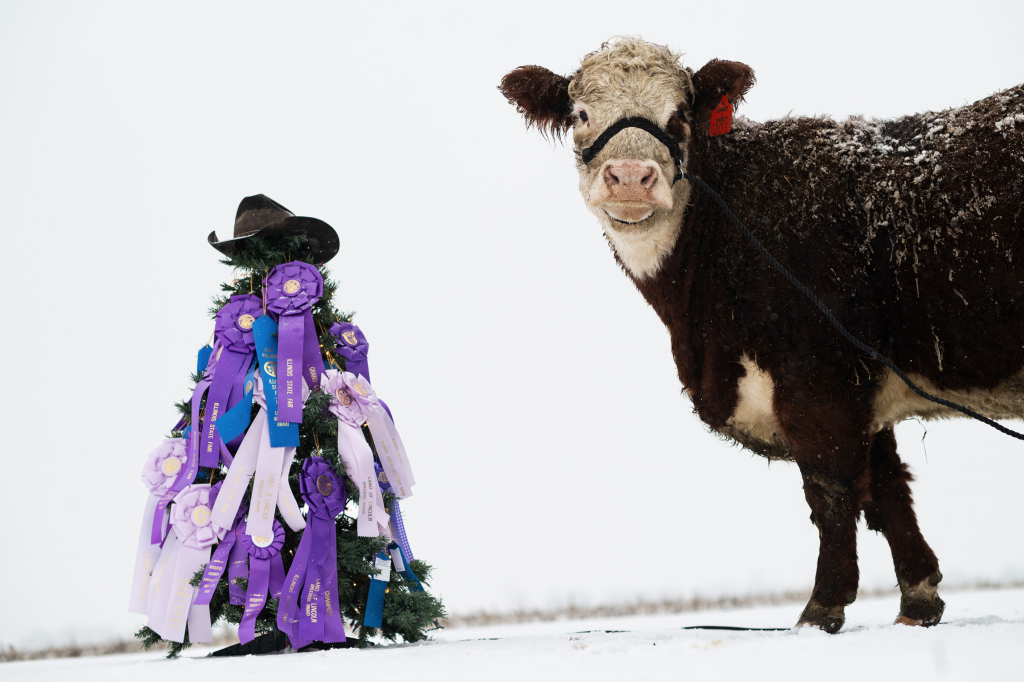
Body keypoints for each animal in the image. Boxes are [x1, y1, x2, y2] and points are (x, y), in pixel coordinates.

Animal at [499, 37, 1024, 633]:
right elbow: (888, 487)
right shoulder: (862, 389)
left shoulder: (816, 378)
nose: (631, 176)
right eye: (582, 114)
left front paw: (822, 608)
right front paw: (918, 599)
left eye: (679, 115)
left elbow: (832, 491)